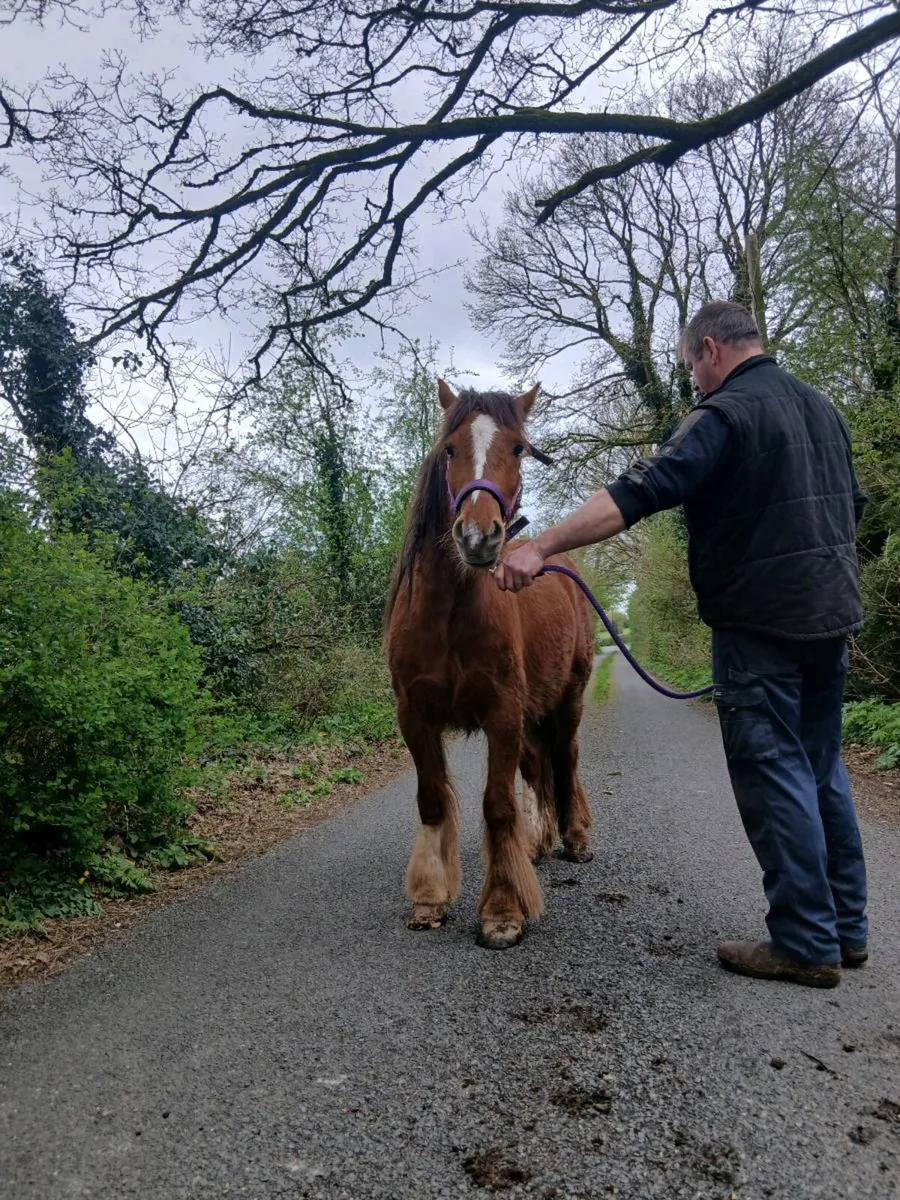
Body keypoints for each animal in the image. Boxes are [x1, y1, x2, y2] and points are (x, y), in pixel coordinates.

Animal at [384, 378, 595, 949]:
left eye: (519, 449)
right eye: (449, 449)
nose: (478, 536)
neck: (449, 615)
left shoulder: (501, 713)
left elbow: (498, 806)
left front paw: (503, 910)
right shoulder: (415, 716)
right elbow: (432, 800)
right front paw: (430, 898)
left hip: (567, 701)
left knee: (565, 759)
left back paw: (575, 837)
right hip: (531, 716)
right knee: (539, 766)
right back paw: (539, 842)